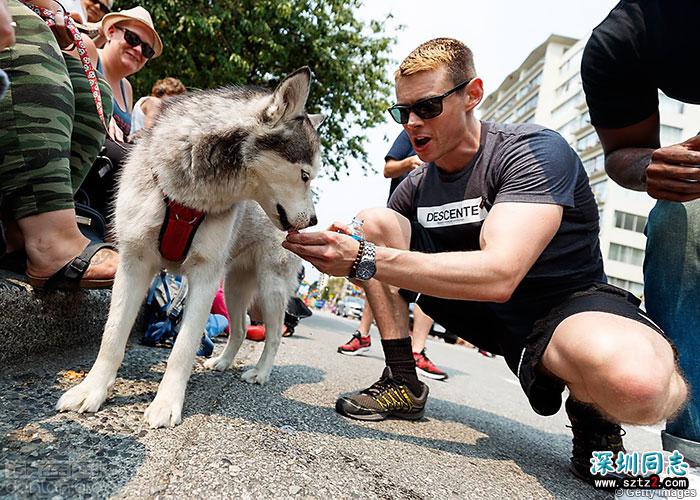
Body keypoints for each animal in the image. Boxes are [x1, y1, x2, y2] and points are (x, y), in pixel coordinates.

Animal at [55, 66, 322, 428]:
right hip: (234, 286)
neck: (188, 197)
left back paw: (261, 372)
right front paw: (92, 389)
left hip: (270, 287)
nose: (313, 220)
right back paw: (222, 361)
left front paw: (167, 403)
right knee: (240, 328)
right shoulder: (133, 264)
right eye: (305, 175)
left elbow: (182, 349)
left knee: (275, 334)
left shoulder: (204, 278)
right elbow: (112, 336)